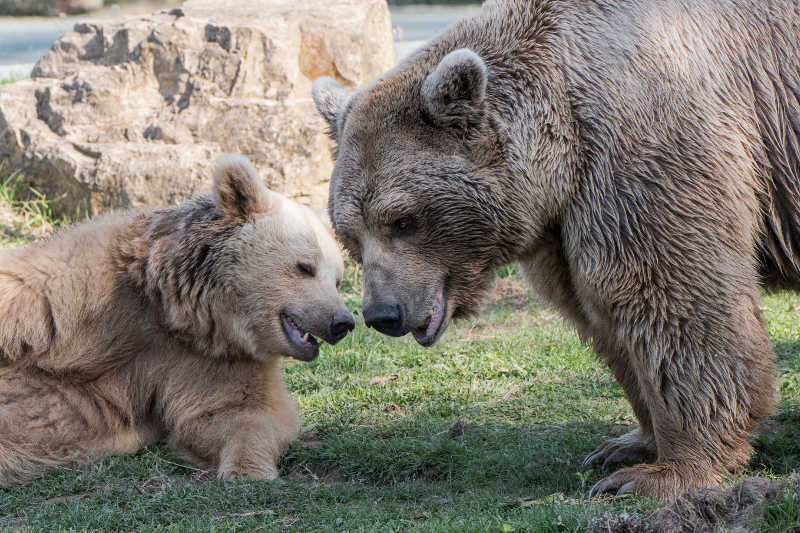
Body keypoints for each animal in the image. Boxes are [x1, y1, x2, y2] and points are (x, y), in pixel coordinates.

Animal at [0, 155, 354, 486]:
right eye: (305, 267)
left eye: (337, 280)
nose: (342, 322)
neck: (173, 309)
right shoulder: (84, 288)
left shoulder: (211, 359)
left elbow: (242, 412)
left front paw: (247, 469)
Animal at [312, 0, 800, 498]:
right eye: (350, 233)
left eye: (403, 220)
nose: (382, 313)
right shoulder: (563, 223)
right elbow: (596, 309)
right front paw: (628, 444)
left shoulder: (648, 144)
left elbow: (668, 294)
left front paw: (662, 472)